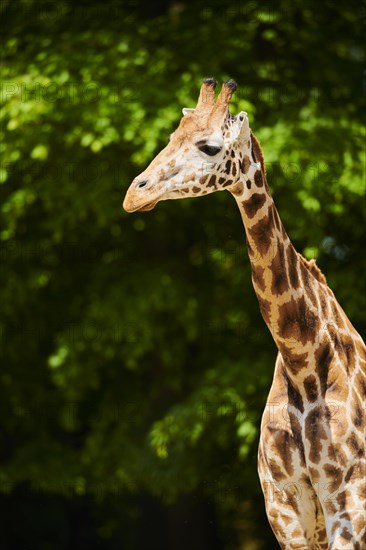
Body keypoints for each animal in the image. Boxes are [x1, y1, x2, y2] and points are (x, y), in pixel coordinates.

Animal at [123, 80, 366, 548]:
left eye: (210, 146)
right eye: (171, 137)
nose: (134, 194)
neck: (302, 360)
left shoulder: (350, 502)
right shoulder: (282, 507)